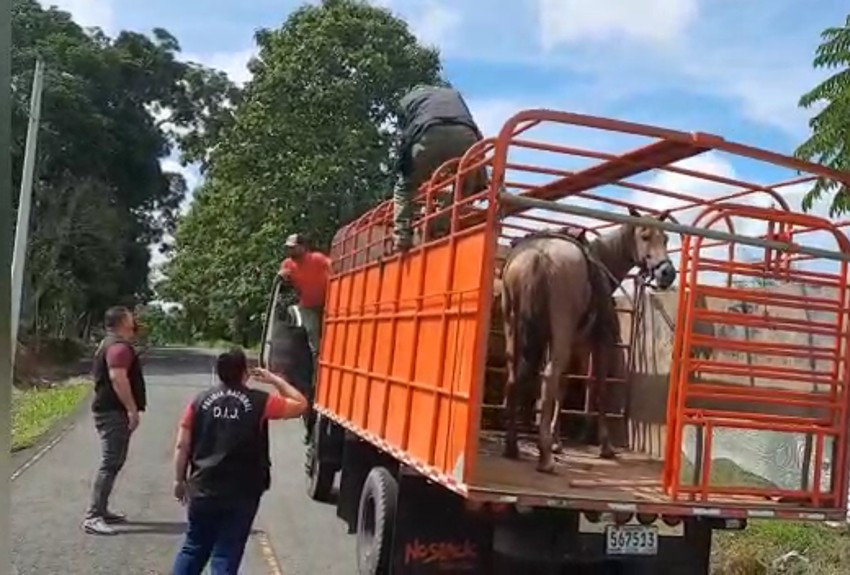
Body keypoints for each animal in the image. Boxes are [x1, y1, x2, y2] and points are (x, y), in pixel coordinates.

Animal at [500, 209, 672, 474]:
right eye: (644, 236)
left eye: (666, 239)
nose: (667, 273)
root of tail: (537, 256)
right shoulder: (598, 343)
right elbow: (598, 386)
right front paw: (605, 446)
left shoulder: (569, 344)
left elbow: (562, 388)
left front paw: (557, 442)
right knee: (548, 377)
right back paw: (545, 458)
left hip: (513, 329)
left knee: (514, 377)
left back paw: (512, 446)